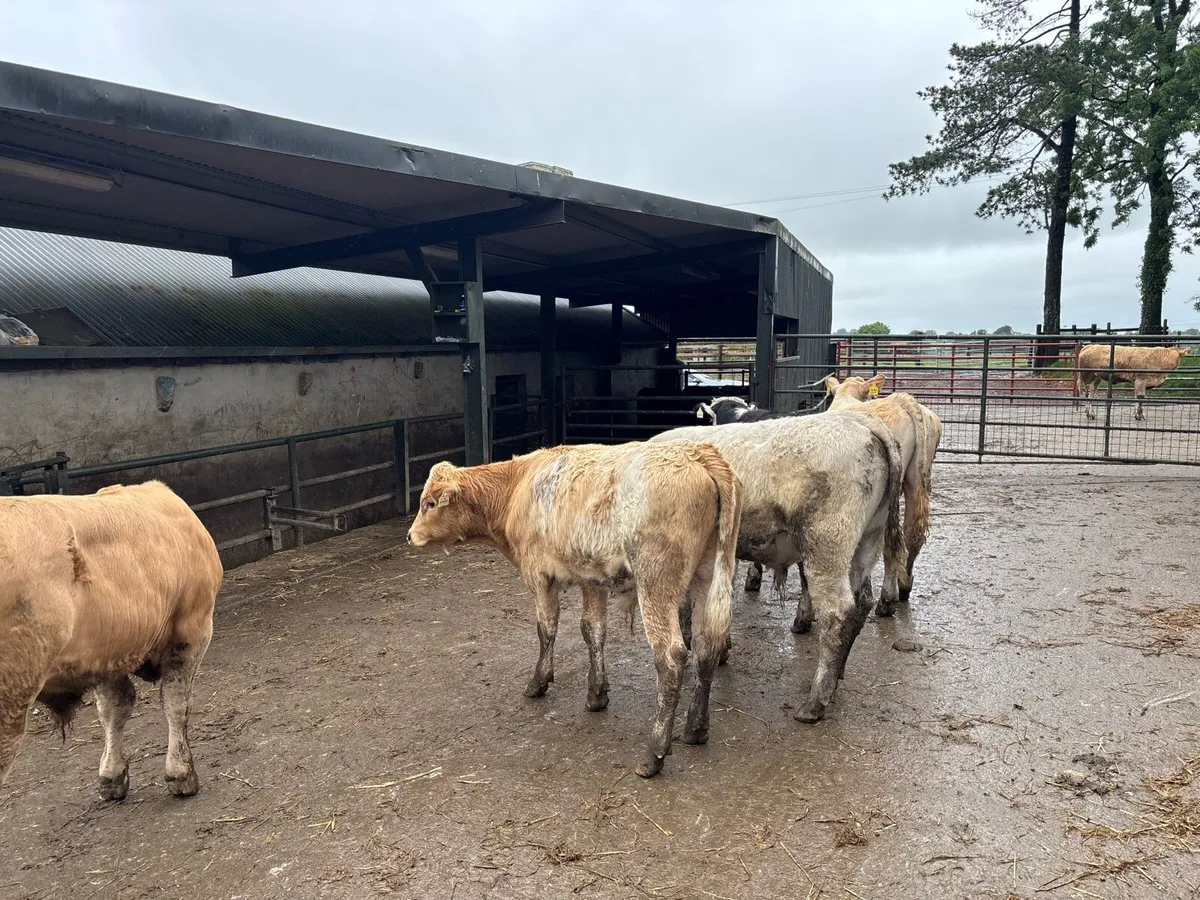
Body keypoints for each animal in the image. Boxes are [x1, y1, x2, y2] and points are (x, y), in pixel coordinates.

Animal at [1, 480, 223, 801]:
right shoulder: (192, 629)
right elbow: (176, 701)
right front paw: (181, 772)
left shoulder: (104, 651)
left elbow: (113, 707)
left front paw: (112, 774)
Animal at [406, 441, 742, 778]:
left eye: (430, 503)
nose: (409, 535)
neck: (517, 486)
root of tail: (696, 453)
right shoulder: (591, 578)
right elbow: (592, 630)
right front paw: (597, 693)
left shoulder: (540, 576)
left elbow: (546, 628)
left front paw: (538, 682)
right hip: (708, 576)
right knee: (706, 646)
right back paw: (696, 728)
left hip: (656, 583)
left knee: (671, 657)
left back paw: (654, 753)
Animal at [647, 413, 905, 724]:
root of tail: (861, 422)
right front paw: (722, 648)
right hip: (865, 541)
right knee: (862, 600)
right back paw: (836, 678)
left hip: (827, 543)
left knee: (838, 613)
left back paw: (814, 703)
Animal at [824, 373, 943, 614]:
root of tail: (903, 400)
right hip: (917, 478)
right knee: (911, 533)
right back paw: (904, 586)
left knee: (890, 539)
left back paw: (887, 600)